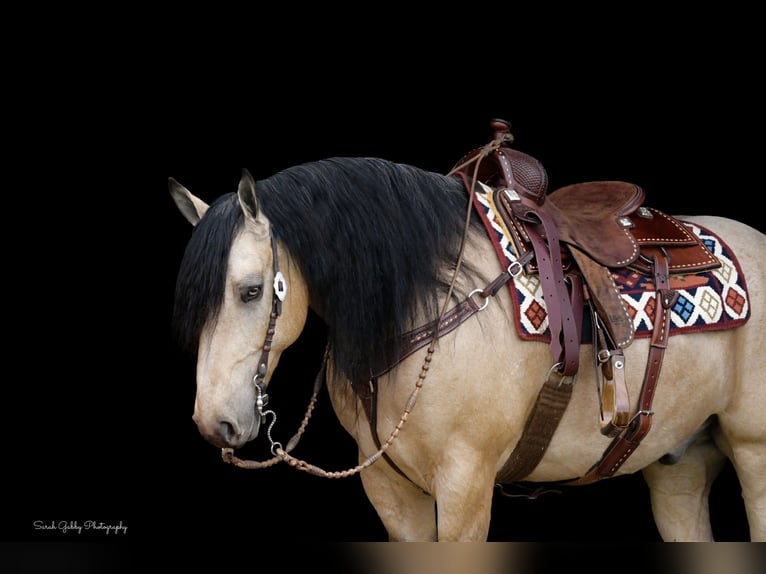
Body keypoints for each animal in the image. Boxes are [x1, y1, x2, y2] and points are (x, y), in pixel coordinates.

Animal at [170, 122, 766, 544]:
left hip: (752, 451)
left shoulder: (466, 485)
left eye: (251, 291)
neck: (423, 304)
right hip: (680, 464)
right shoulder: (390, 491)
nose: (214, 422)